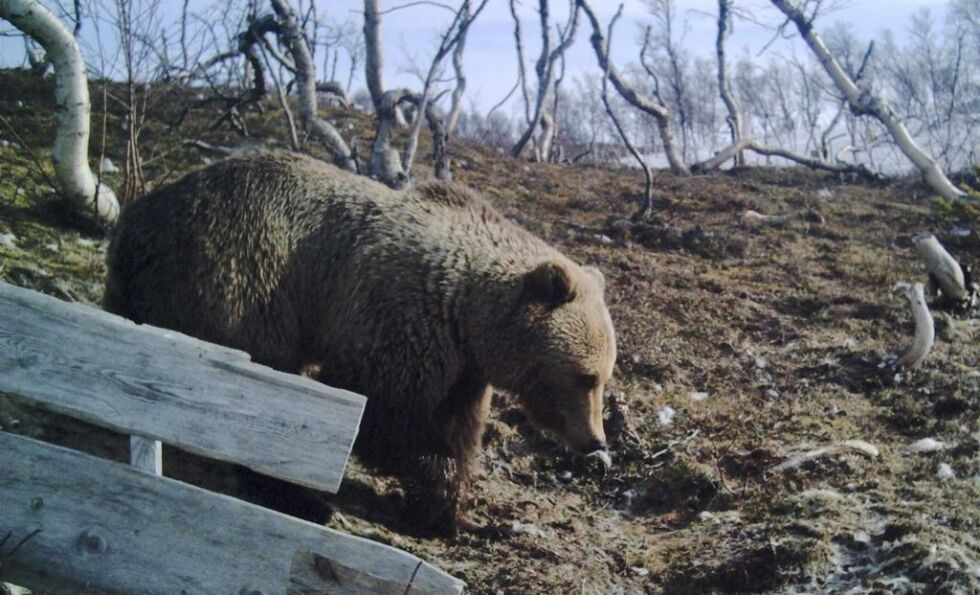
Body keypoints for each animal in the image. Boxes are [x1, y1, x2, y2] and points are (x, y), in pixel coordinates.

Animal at [105, 151, 612, 532]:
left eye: (604, 377)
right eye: (586, 377)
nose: (595, 439)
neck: (467, 312)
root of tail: (138, 217)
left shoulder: (461, 366)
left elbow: (455, 426)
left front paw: (453, 511)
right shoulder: (398, 319)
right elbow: (383, 415)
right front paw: (440, 501)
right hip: (245, 276)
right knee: (263, 393)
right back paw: (301, 499)